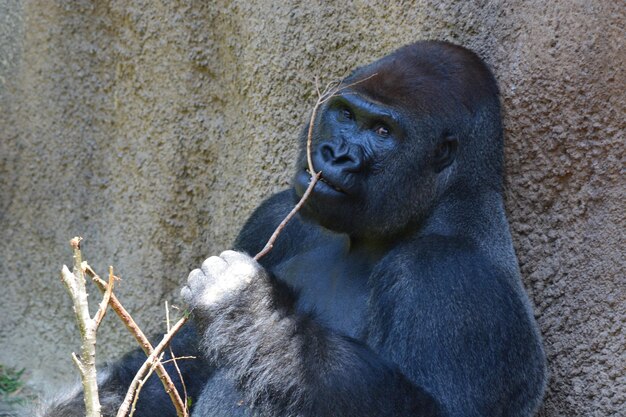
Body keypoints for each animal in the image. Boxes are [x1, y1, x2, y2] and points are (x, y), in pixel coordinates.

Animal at [44, 41, 544, 416]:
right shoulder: (275, 216)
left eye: (383, 132)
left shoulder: (451, 277)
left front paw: (247, 308)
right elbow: (182, 362)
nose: (336, 154)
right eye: (345, 115)